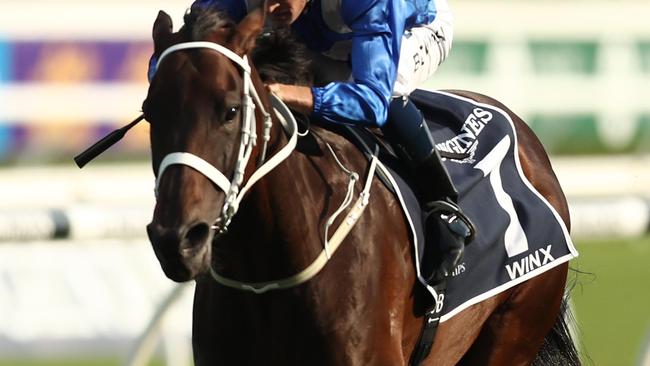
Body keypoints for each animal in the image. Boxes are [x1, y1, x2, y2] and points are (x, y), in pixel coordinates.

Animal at [143, 5, 576, 366]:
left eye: (231, 110)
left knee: (394, 91)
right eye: (150, 112)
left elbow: (376, 94)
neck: (268, 270)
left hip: (515, 325)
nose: (177, 240)